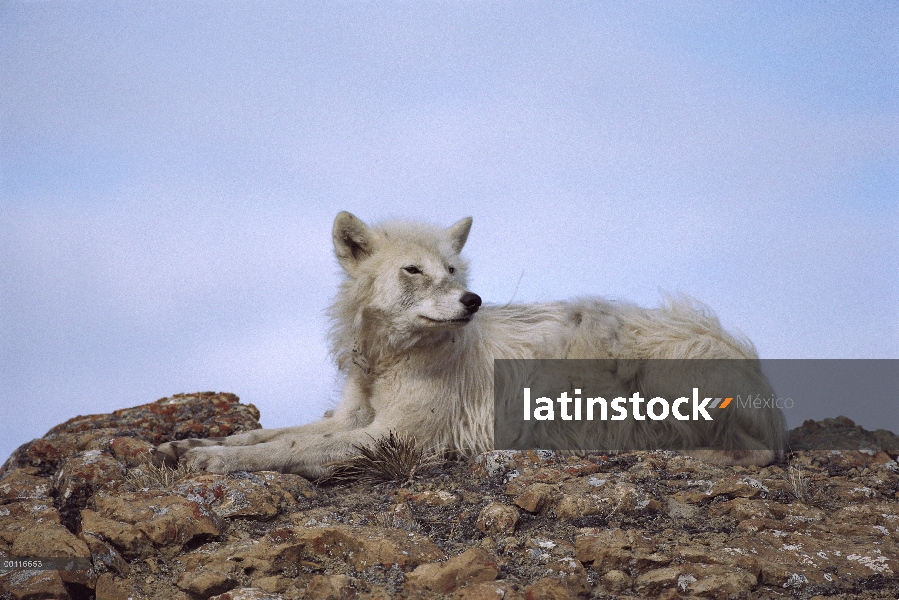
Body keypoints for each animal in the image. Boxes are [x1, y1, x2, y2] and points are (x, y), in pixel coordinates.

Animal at [156, 211, 788, 478]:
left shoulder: (395, 439)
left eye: (454, 269)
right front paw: (193, 443)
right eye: (414, 270)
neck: (394, 359)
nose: (472, 300)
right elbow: (274, 435)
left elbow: (288, 449)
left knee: (756, 454)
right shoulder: (352, 418)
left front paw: (214, 460)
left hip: (666, 377)